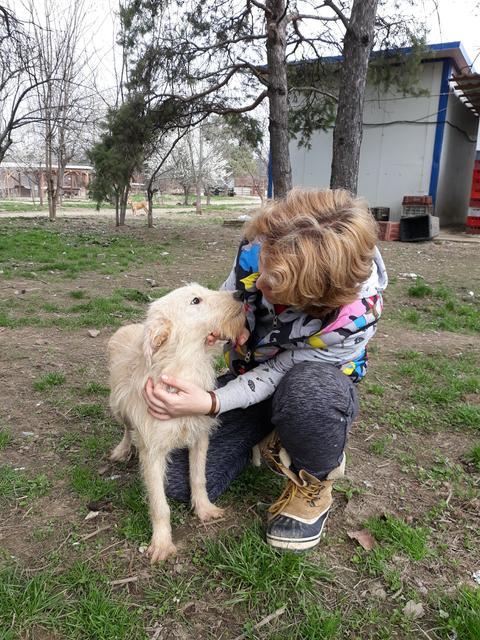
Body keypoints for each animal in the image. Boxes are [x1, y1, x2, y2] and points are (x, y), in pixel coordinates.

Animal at [108, 284, 244, 560]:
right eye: (196, 300)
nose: (240, 293)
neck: (186, 366)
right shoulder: (152, 452)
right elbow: (160, 504)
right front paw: (161, 543)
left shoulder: (200, 436)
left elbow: (198, 479)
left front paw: (204, 509)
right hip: (117, 406)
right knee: (127, 428)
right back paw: (122, 449)